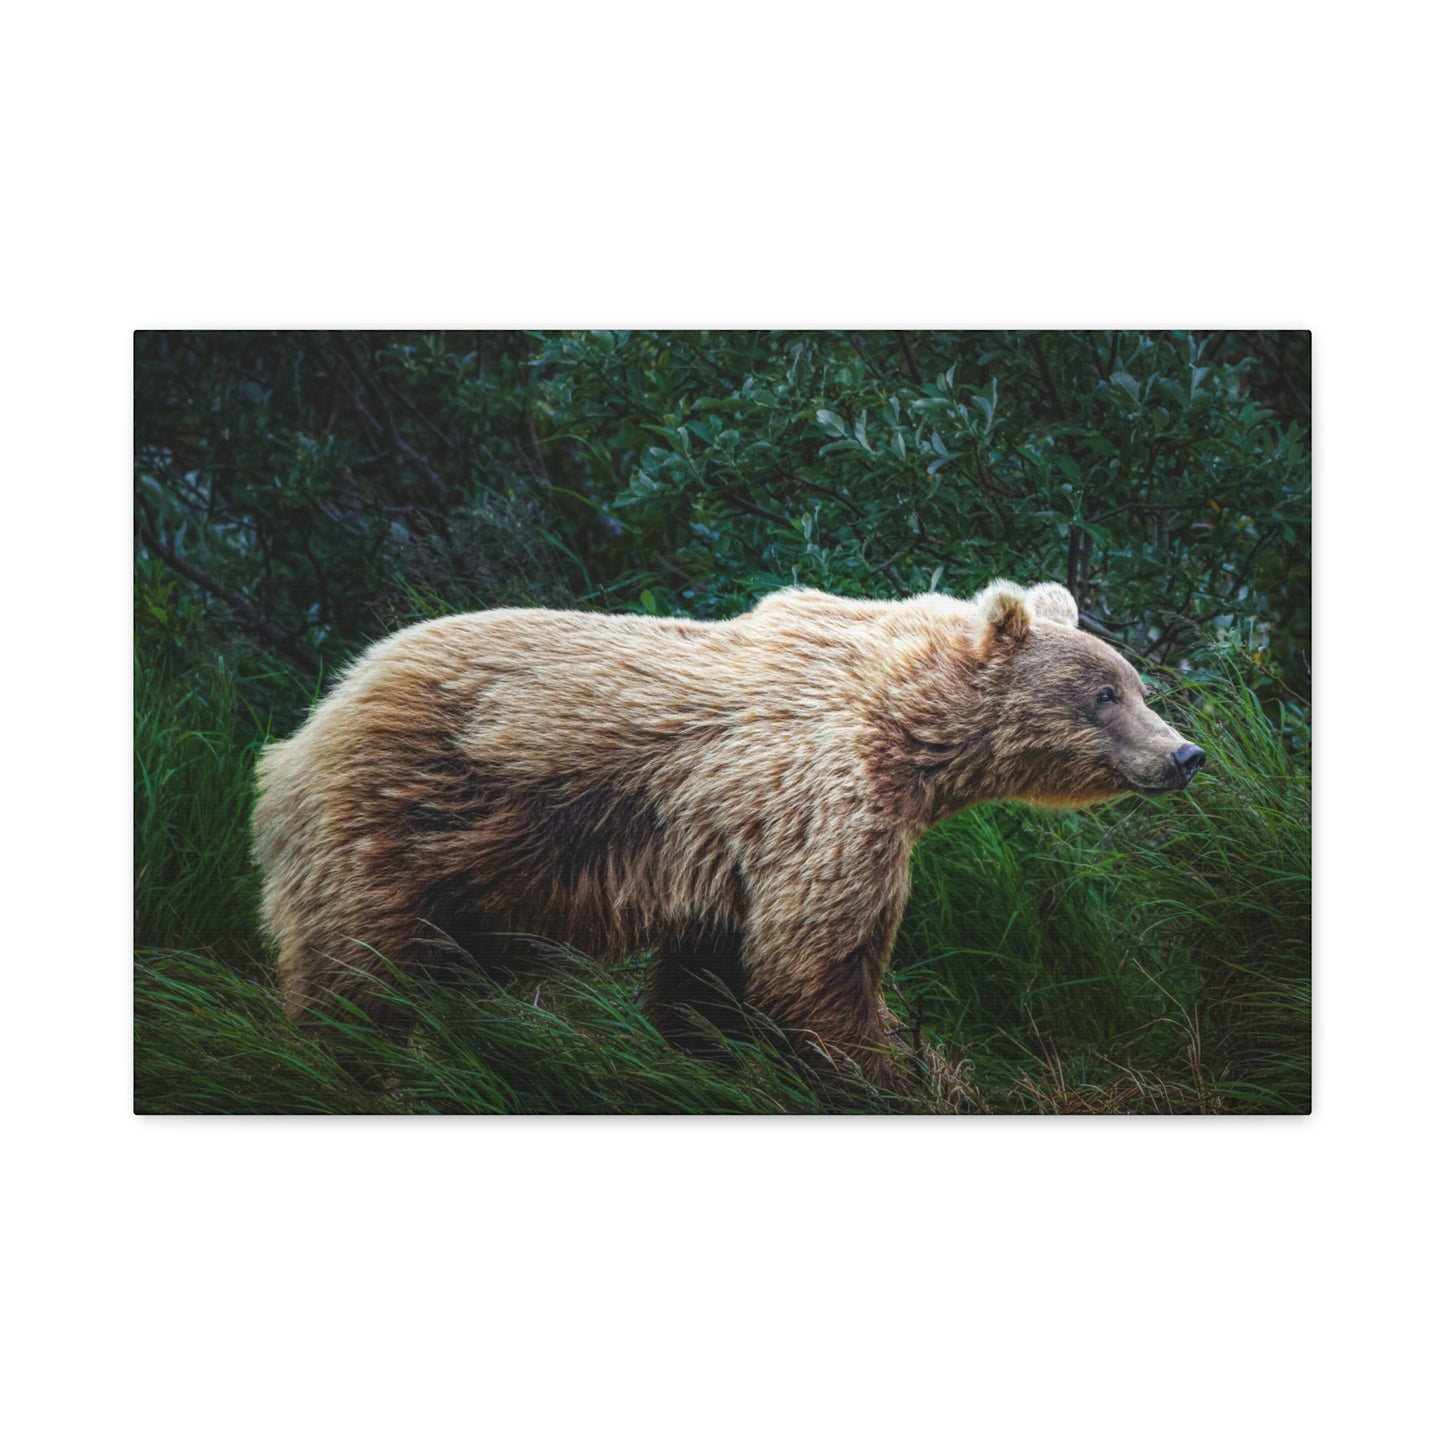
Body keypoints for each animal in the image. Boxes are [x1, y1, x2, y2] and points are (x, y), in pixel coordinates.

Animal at [252, 580, 1204, 1091]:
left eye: (1135, 683)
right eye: (1104, 694)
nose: (1183, 753)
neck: (911, 735)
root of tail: (306, 724)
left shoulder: (729, 850)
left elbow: (712, 977)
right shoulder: (824, 802)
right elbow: (820, 961)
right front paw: (904, 1067)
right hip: (399, 820)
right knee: (357, 971)